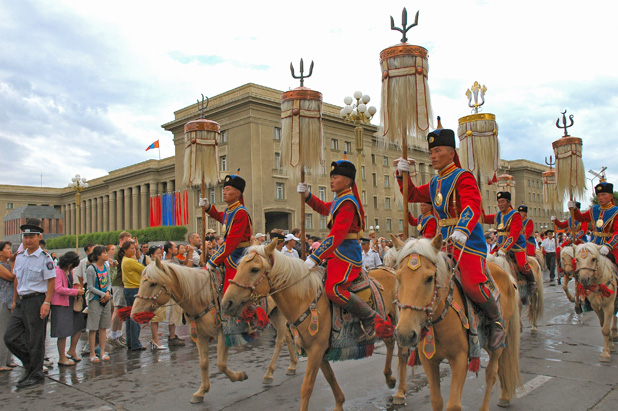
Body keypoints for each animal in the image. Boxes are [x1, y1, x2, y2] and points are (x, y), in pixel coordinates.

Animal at [129, 260, 298, 404]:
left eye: (152, 283)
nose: (134, 313)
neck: (202, 297)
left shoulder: (223, 334)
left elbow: (221, 364)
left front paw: (239, 376)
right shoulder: (200, 336)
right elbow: (204, 363)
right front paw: (201, 391)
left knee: (281, 340)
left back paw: (270, 373)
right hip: (277, 313)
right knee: (287, 336)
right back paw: (292, 365)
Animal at [219, 241, 406, 411]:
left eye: (254, 269)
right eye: (239, 266)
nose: (227, 303)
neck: (305, 298)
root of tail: (390, 269)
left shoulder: (316, 350)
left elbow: (306, 388)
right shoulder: (317, 351)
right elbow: (330, 377)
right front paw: (339, 404)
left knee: (401, 350)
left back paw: (400, 392)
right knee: (390, 343)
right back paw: (389, 378)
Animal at [390, 235, 520, 411]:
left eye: (429, 278)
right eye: (397, 277)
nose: (404, 334)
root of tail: (506, 274)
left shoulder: (459, 359)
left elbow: (453, 405)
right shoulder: (429, 361)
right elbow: (436, 400)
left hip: (498, 344)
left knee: (492, 373)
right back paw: (505, 395)